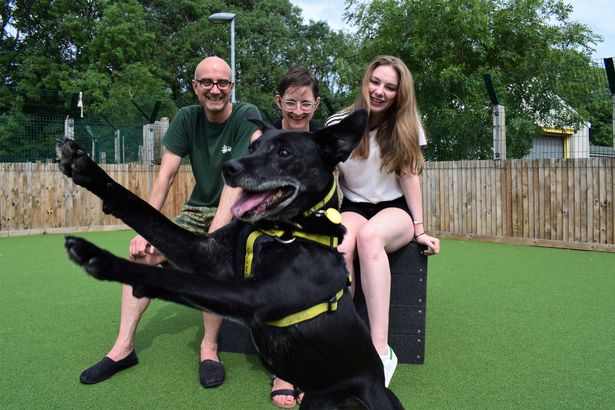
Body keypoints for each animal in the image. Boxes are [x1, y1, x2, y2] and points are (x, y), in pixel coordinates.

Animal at [56, 109, 404, 410]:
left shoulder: (255, 296)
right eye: (252, 147)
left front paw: (100, 258)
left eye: (284, 153)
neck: (281, 231)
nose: (230, 168)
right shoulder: (206, 254)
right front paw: (85, 168)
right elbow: (139, 207)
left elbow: (173, 278)